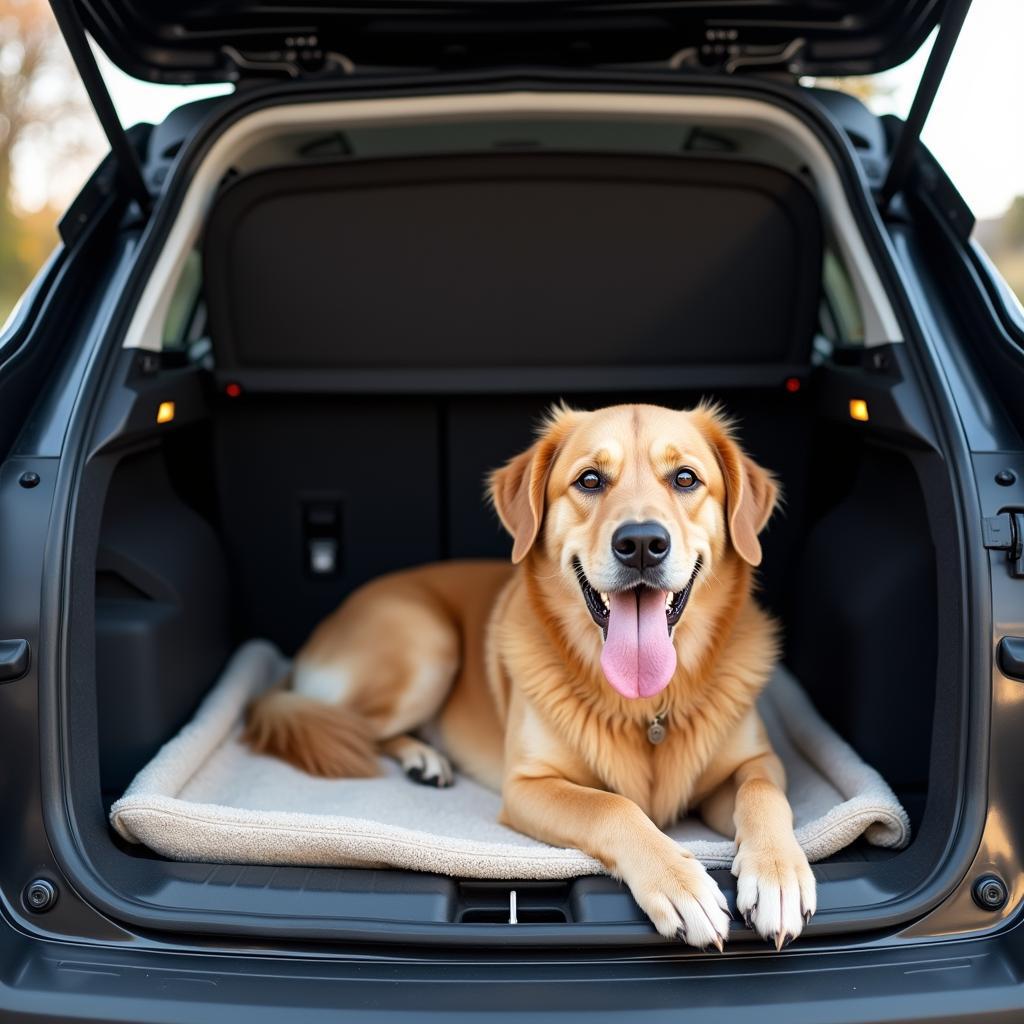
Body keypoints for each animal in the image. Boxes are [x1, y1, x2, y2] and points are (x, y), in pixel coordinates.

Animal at [245, 401, 815, 950]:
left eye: (686, 478)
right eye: (590, 480)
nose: (641, 544)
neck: (645, 705)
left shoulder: (754, 762)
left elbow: (763, 793)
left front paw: (778, 874)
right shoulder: (527, 786)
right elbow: (613, 807)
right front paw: (680, 884)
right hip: (428, 644)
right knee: (357, 728)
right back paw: (422, 757)